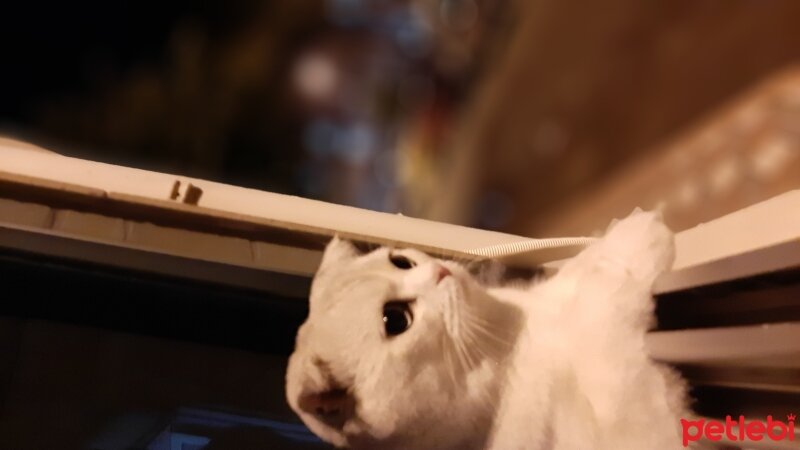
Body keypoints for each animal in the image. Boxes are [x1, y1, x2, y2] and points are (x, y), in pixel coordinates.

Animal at [288, 209, 692, 448]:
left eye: (400, 261)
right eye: (396, 319)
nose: (440, 271)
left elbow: (585, 267)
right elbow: (607, 289)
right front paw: (643, 235)